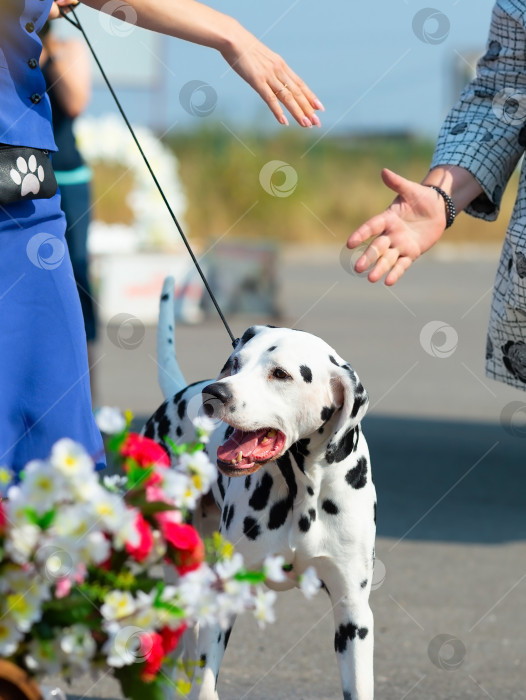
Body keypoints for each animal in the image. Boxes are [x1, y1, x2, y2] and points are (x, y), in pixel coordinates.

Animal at [143, 278, 376, 700]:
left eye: (280, 374)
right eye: (235, 363)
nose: (215, 394)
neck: (304, 489)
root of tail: (180, 391)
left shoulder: (353, 613)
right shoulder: (224, 595)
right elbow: (205, 683)